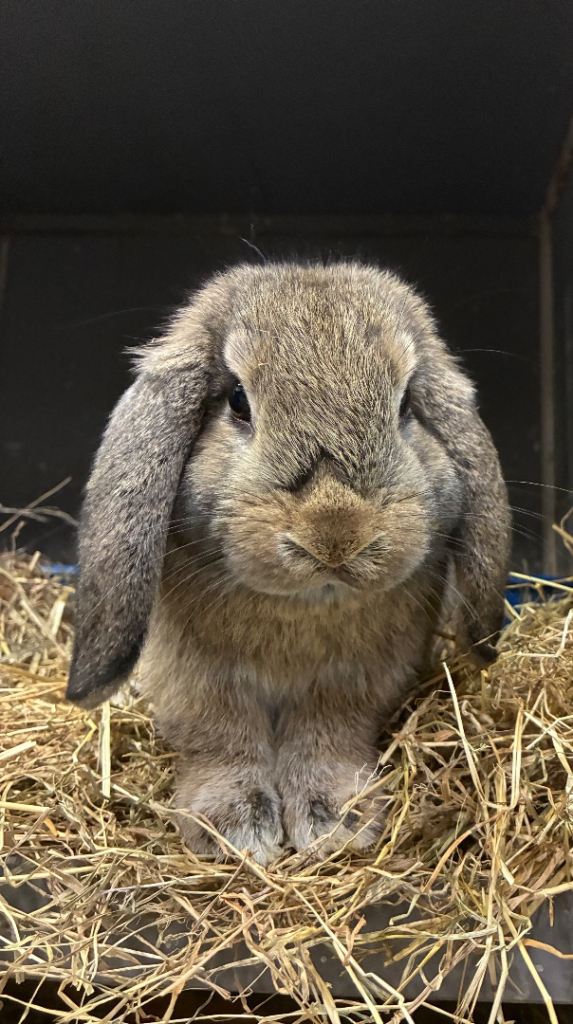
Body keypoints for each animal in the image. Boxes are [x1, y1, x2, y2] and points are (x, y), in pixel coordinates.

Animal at [66, 261, 510, 864]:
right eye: (237, 401)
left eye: (405, 407)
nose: (335, 534)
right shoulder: (198, 680)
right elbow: (220, 737)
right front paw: (234, 829)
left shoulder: (357, 682)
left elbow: (328, 737)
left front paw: (335, 821)